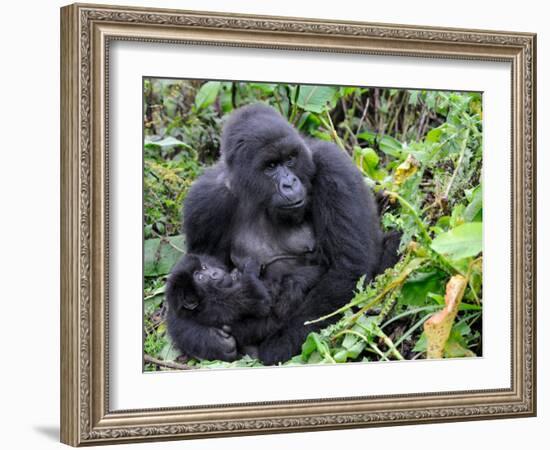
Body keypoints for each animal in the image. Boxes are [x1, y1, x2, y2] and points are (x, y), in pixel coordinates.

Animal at [166, 104, 394, 366]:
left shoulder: (335, 168)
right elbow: (191, 281)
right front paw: (205, 339)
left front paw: (277, 347)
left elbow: (348, 268)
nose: (289, 184)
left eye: (290, 159)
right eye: (271, 166)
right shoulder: (204, 202)